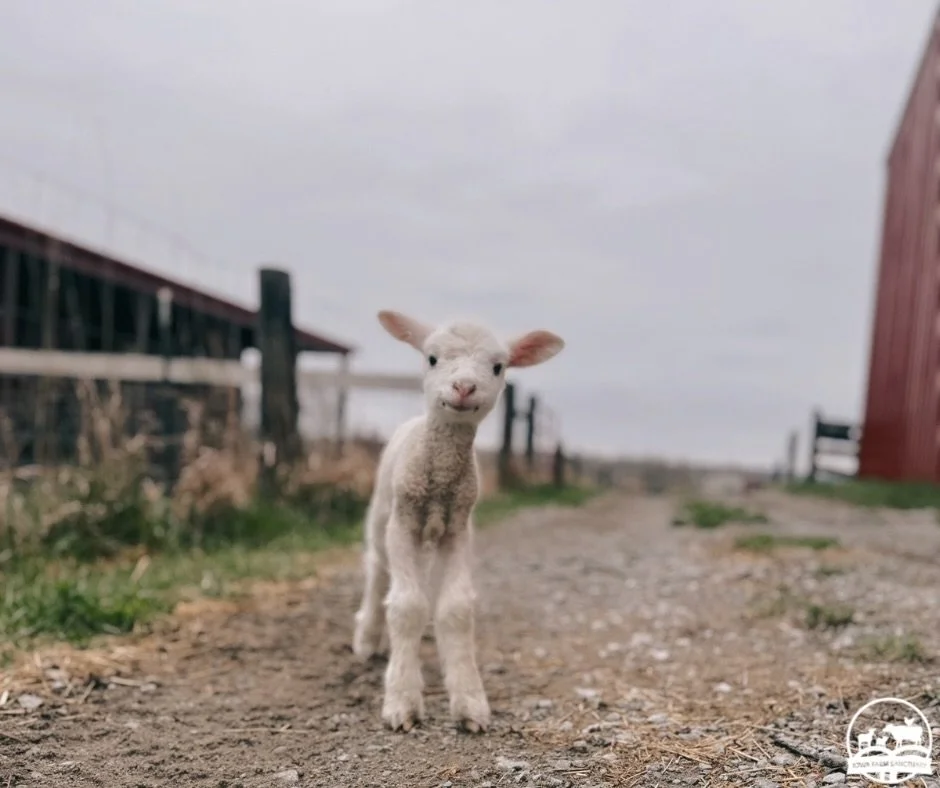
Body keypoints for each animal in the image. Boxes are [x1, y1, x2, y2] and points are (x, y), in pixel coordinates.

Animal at [352, 310, 565, 733]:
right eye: (432, 358)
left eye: (498, 366)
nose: (464, 387)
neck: (439, 481)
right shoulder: (403, 523)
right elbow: (406, 606)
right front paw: (402, 702)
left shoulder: (458, 529)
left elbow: (455, 609)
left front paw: (469, 702)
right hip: (382, 516)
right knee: (378, 572)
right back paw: (367, 640)